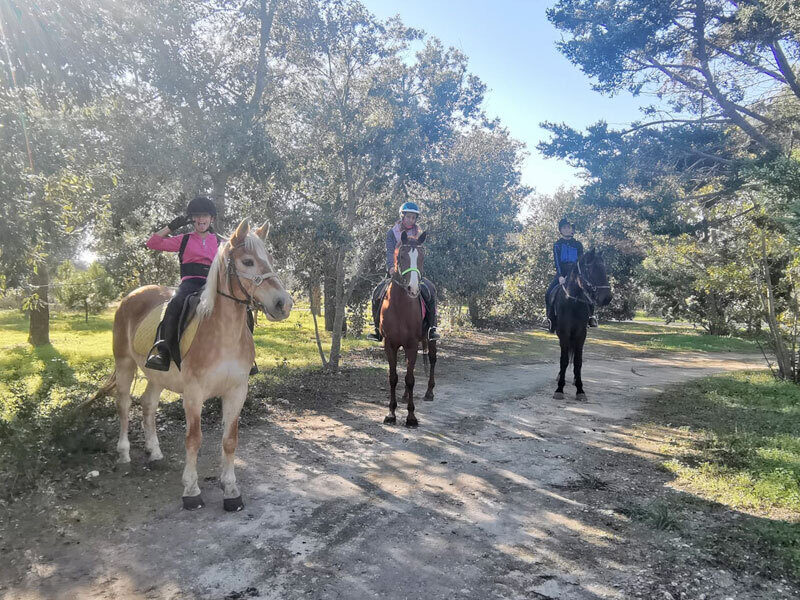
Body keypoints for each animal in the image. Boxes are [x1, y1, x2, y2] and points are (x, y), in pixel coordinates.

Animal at [96, 219, 293, 511]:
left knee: (148, 404)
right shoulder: (193, 393)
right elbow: (194, 439)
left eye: (269, 259)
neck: (223, 333)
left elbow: (230, 440)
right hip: (125, 363)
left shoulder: (237, 391)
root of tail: (133, 294)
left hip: (156, 375)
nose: (284, 303)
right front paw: (191, 490)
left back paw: (154, 452)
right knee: (123, 404)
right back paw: (124, 455)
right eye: (247, 262)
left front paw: (230, 489)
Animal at [379, 230, 437, 427]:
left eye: (422, 257)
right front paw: (391, 413)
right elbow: (393, 377)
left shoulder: (412, 344)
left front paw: (411, 417)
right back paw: (404, 396)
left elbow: (410, 379)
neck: (400, 306)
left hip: (430, 338)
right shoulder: (390, 344)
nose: (413, 288)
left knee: (432, 360)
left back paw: (429, 392)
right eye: (402, 256)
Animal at [551, 249, 611, 401]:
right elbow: (564, 360)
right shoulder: (564, 333)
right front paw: (559, 389)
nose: (607, 298)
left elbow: (578, 361)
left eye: (604, 269)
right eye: (591, 269)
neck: (572, 302)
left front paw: (580, 389)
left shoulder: (581, 334)